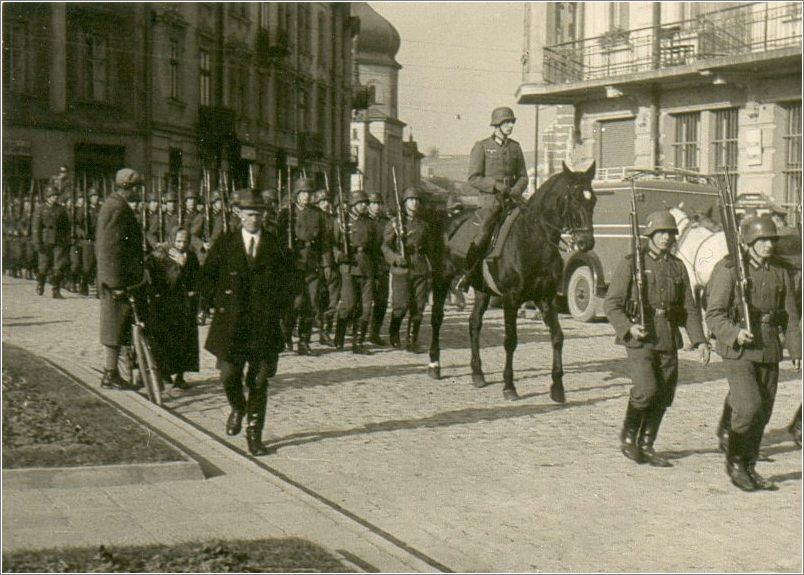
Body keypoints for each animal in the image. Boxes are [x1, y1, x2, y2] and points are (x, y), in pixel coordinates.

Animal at [428, 162, 596, 402]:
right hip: (442, 279)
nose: (586, 242)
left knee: (474, 324)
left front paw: (557, 387)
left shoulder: (546, 299)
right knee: (437, 318)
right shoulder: (511, 299)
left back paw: (477, 373)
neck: (534, 240)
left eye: (593, 199)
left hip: (482, 290)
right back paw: (434, 364)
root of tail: (449, 219)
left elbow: (557, 337)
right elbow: (510, 340)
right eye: (573, 198)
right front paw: (509, 386)